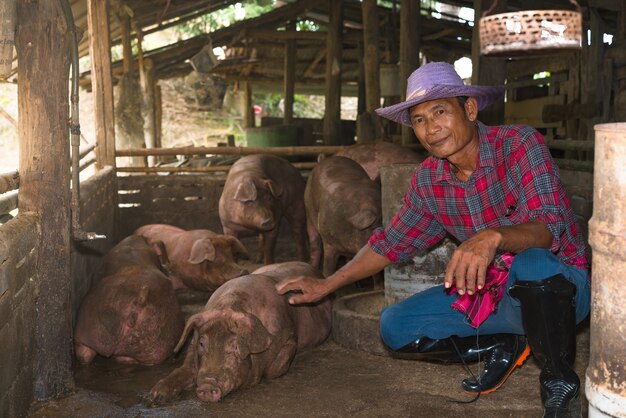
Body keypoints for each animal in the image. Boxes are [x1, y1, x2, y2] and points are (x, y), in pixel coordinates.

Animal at [147, 262, 332, 404]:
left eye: (235, 346)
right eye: (202, 343)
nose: (207, 386)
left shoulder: (291, 337)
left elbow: (272, 370)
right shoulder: (192, 348)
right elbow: (182, 370)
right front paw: (155, 396)